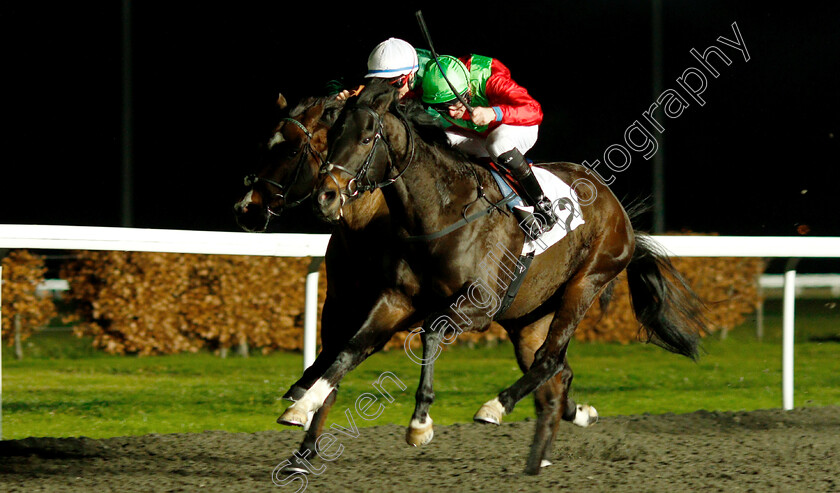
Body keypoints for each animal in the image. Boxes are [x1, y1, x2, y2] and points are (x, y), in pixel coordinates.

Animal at [296, 80, 708, 472]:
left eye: (366, 139)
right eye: (332, 137)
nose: (325, 197)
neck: (442, 209)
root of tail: (617, 208)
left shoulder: (480, 305)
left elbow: (430, 332)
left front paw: (420, 423)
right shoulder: (397, 299)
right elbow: (351, 346)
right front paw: (304, 400)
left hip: (586, 282)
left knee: (548, 359)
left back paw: (497, 406)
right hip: (528, 317)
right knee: (555, 371)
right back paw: (554, 440)